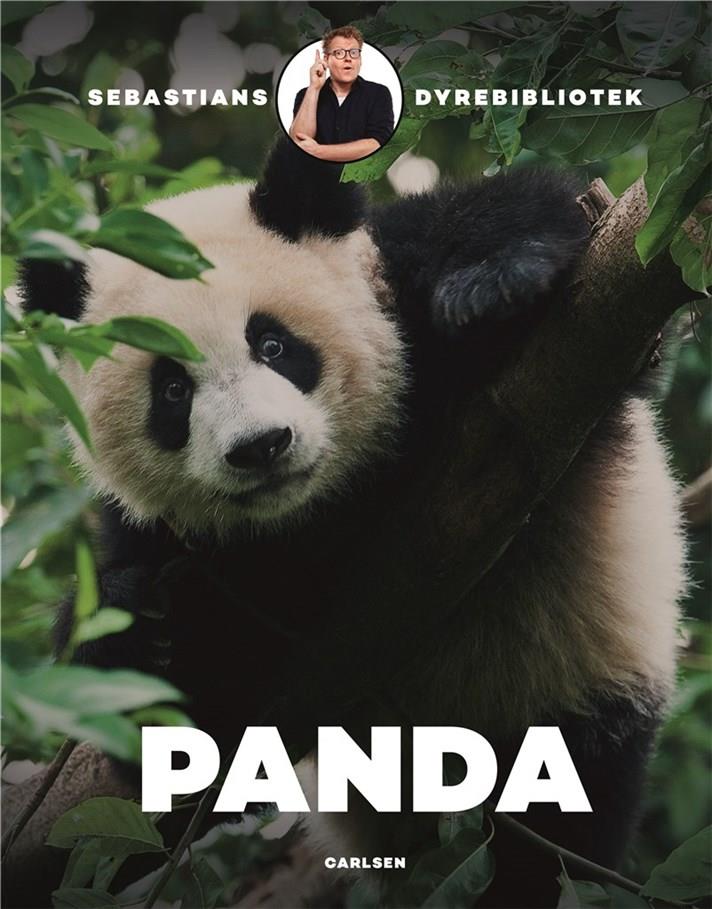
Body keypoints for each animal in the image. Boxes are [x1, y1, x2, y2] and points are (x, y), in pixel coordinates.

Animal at [19, 138, 685, 908]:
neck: (325, 507)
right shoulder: (163, 536)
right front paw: (140, 625)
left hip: (573, 693)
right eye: (173, 389)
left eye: (273, 345)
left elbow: (540, 228)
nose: (261, 446)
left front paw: (494, 281)